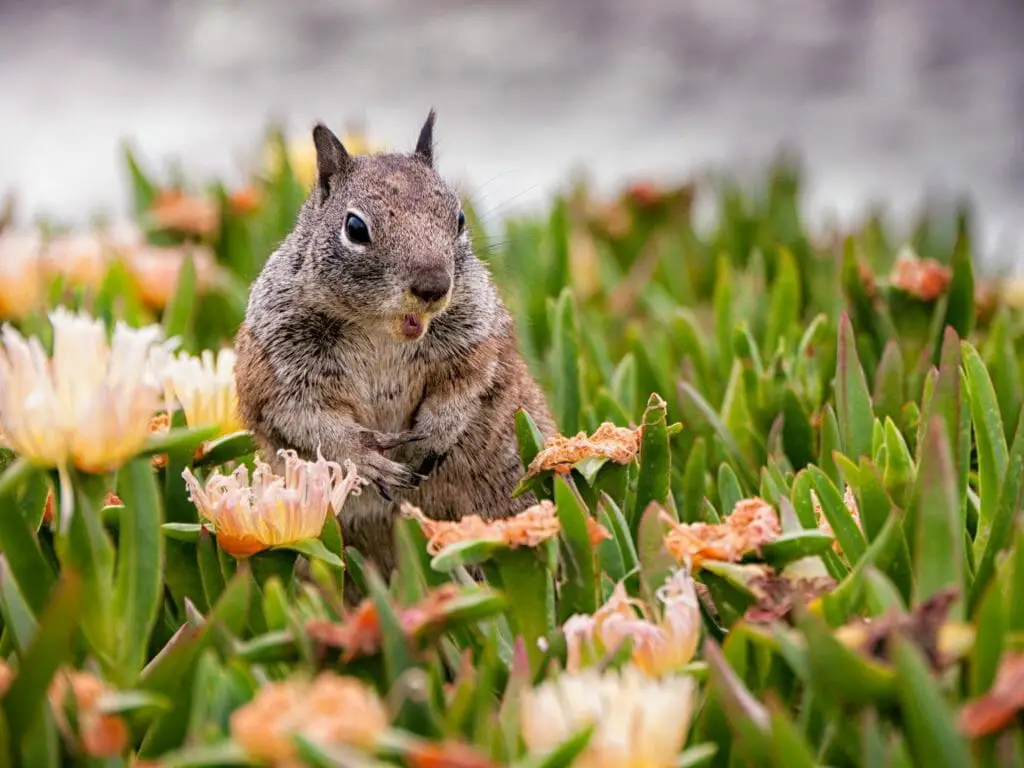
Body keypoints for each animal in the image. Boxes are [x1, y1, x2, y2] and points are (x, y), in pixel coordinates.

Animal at [234, 110, 556, 595]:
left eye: (459, 219)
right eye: (355, 228)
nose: (433, 286)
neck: (382, 332)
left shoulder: (479, 338)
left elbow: (466, 386)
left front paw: (436, 432)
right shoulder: (276, 363)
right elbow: (304, 417)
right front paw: (363, 456)